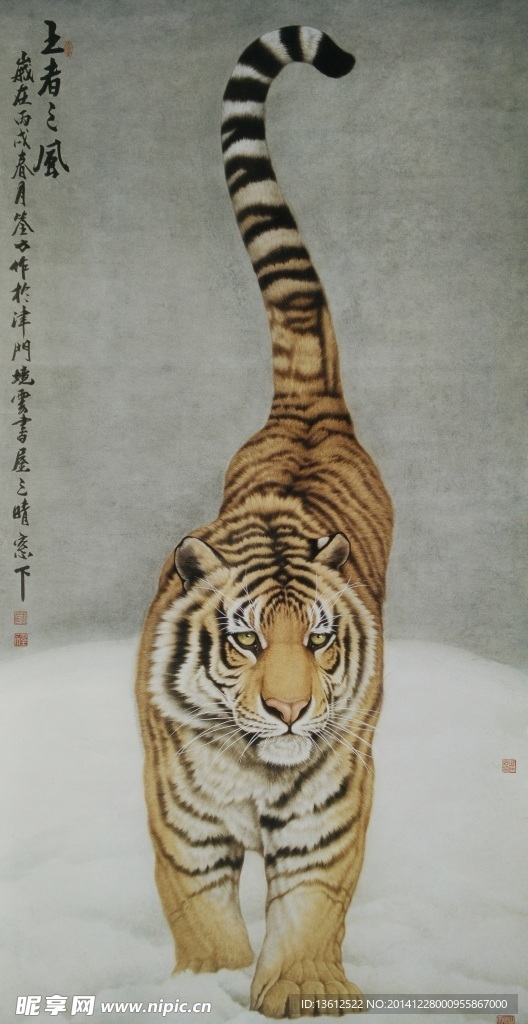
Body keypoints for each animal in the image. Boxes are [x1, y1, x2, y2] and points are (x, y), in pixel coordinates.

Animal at [136, 25, 393, 1019]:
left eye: (319, 640)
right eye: (244, 641)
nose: (289, 711)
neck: (256, 766)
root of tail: (308, 411)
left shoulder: (333, 807)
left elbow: (313, 901)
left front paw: (305, 989)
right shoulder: (182, 819)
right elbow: (201, 911)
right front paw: (207, 985)